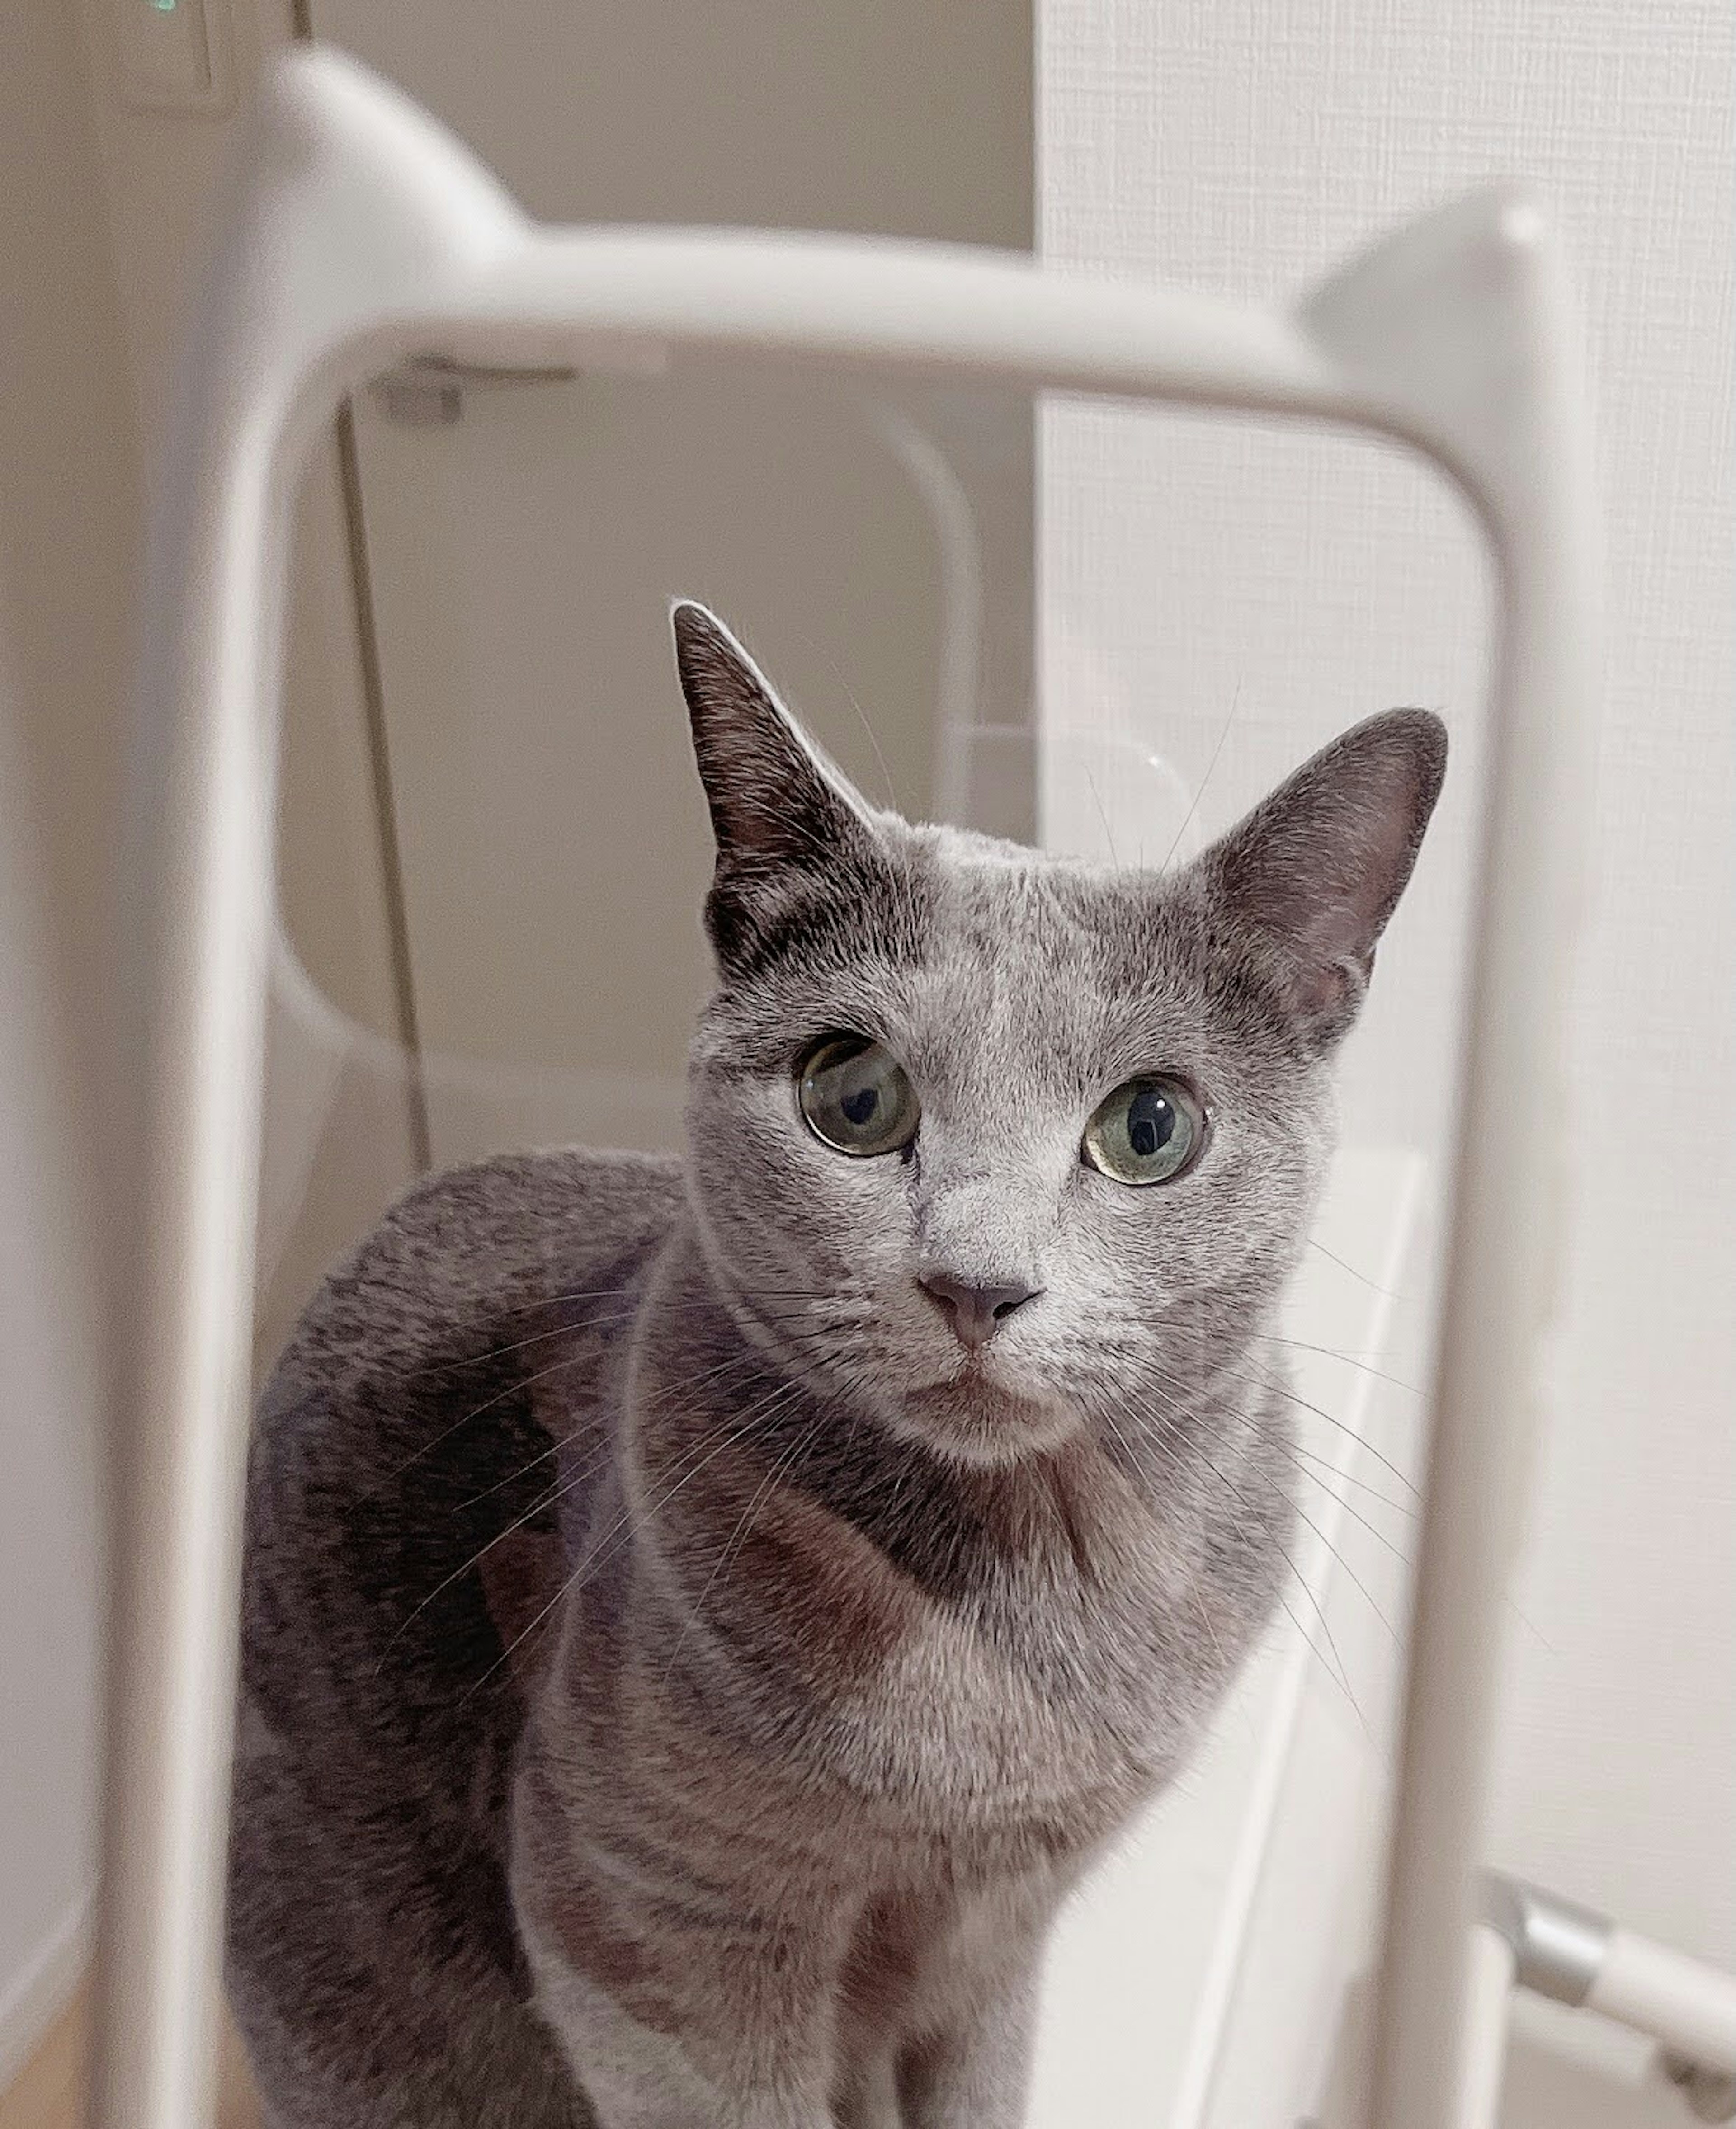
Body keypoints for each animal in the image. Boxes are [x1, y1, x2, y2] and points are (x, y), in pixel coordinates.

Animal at [231, 604, 1448, 2129]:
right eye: (851, 1096)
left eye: (1150, 1127)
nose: (977, 1282)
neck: (1018, 1607)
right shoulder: (654, 1932)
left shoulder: (998, 1934)